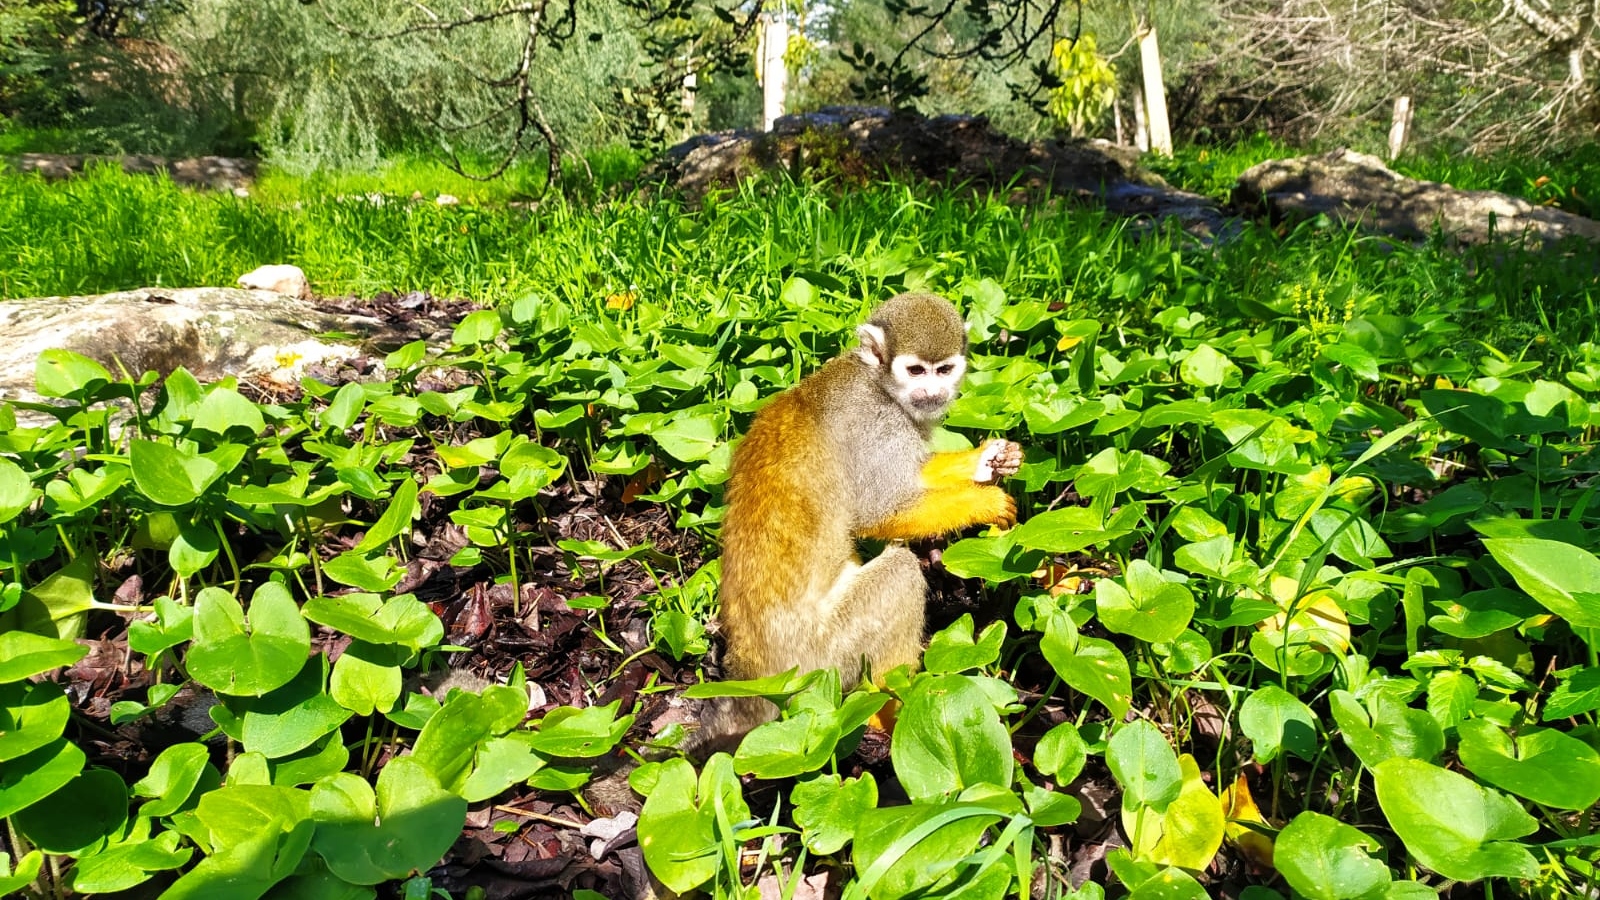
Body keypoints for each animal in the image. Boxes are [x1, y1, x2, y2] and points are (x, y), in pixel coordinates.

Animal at [696, 292, 1023, 754]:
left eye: (943, 369)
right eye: (915, 371)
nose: (932, 391)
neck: (876, 383)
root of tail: (756, 678)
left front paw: (984, 461)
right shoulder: (875, 424)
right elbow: (880, 509)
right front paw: (983, 502)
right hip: (823, 661)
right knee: (900, 573)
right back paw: (896, 708)